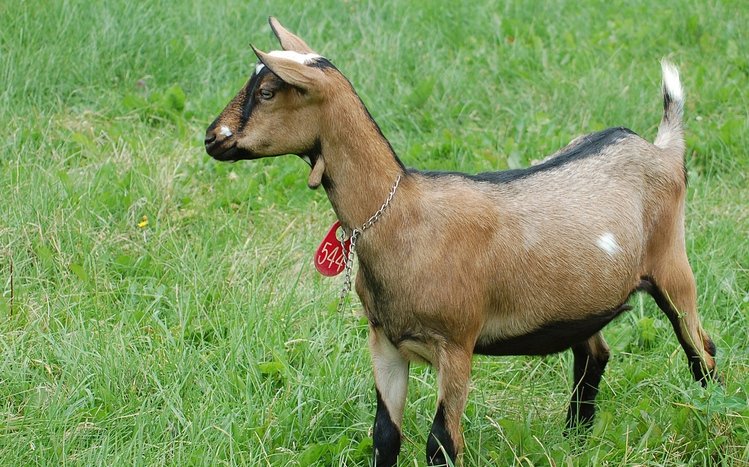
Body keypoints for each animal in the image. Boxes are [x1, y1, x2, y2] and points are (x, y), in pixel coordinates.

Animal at [204, 17, 718, 466]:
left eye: (267, 92)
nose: (212, 138)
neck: (402, 214)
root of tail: (661, 149)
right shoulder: (385, 341)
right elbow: (385, 434)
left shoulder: (456, 344)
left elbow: (442, 443)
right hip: (583, 300)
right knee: (594, 355)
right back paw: (574, 440)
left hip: (674, 266)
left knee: (702, 350)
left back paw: (712, 423)